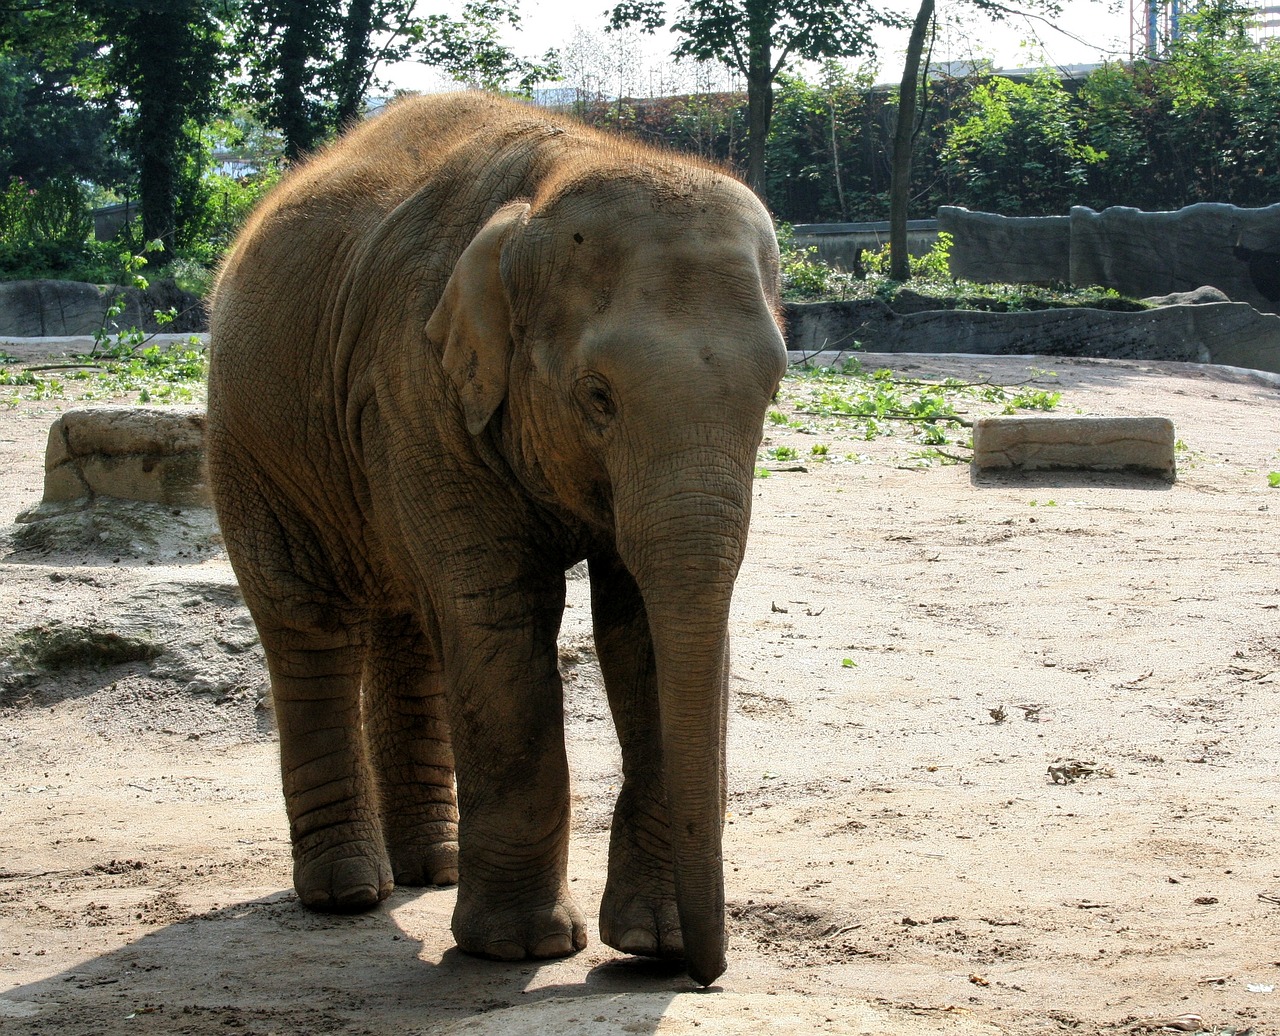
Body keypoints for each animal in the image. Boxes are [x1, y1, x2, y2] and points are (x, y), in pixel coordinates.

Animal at [207, 90, 788, 988]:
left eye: (774, 390)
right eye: (597, 396)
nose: (706, 974)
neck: (559, 174)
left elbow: (642, 632)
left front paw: (647, 943)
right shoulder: (414, 382)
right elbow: (498, 611)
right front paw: (522, 949)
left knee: (409, 623)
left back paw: (433, 868)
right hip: (251, 442)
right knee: (308, 617)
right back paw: (349, 893)